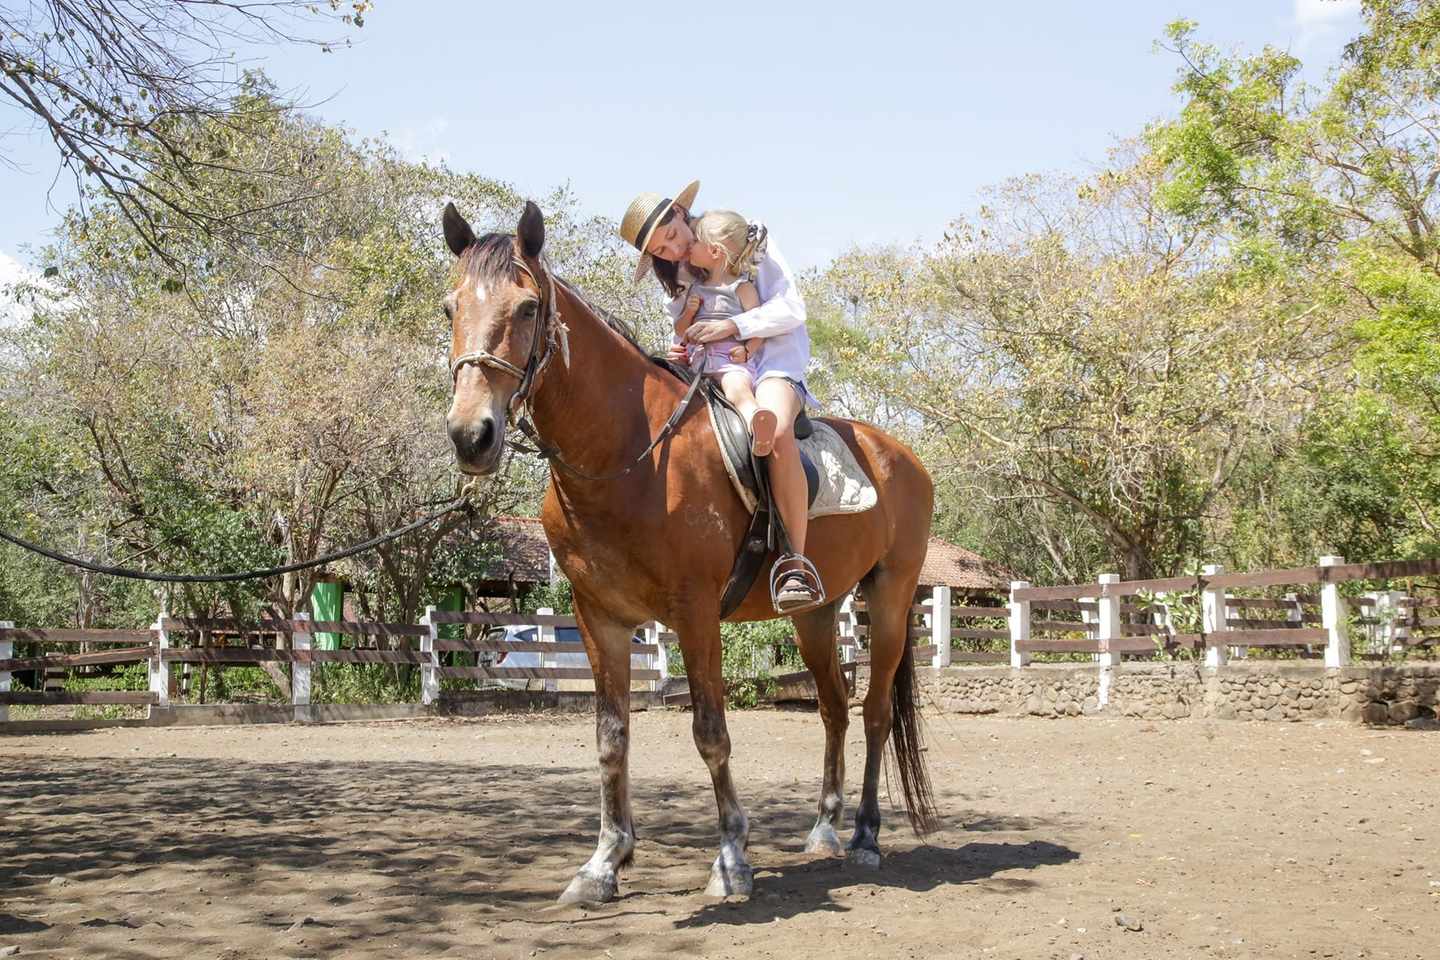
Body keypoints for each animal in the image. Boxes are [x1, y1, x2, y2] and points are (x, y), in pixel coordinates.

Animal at [441, 200, 938, 904]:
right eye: (450, 307)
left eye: (529, 308)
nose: (471, 436)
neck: (629, 454)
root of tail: (899, 456)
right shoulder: (599, 618)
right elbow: (611, 736)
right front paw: (604, 862)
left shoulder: (697, 613)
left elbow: (710, 732)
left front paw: (731, 858)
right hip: (817, 612)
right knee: (835, 708)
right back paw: (825, 829)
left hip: (890, 599)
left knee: (872, 713)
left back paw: (866, 835)